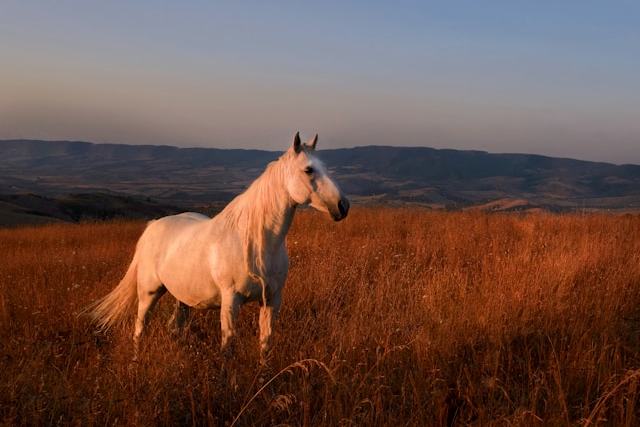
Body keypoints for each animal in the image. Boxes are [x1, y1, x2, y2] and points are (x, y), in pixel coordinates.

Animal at [89, 132, 349, 361]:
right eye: (308, 169)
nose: (343, 206)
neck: (256, 243)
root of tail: (153, 226)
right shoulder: (231, 300)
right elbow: (228, 346)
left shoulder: (272, 300)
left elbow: (265, 343)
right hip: (149, 292)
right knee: (139, 328)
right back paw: (136, 361)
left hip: (182, 297)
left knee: (175, 327)